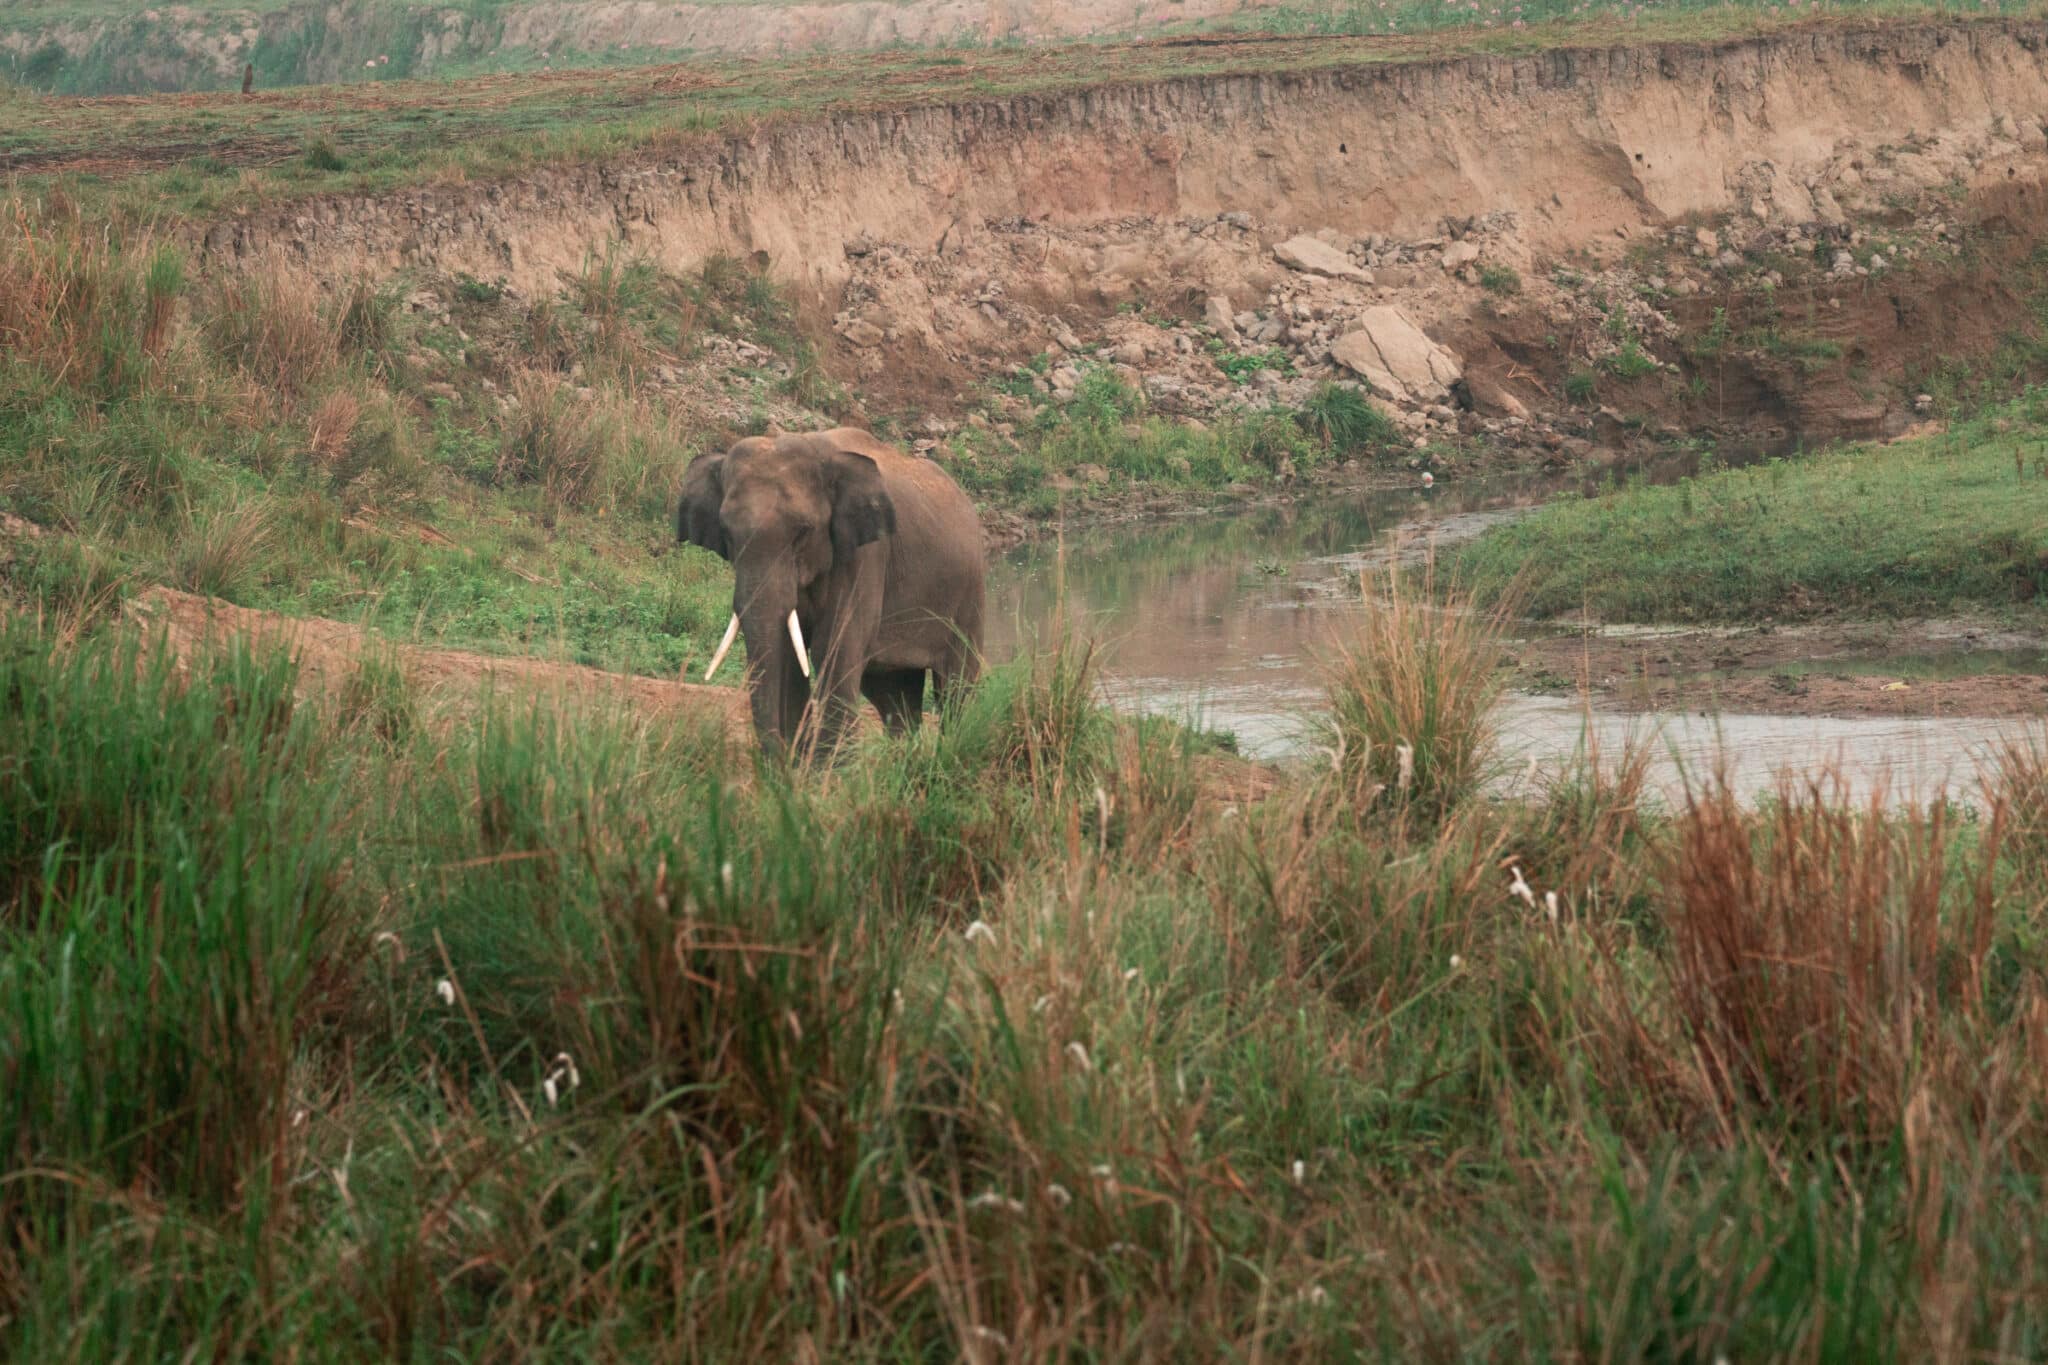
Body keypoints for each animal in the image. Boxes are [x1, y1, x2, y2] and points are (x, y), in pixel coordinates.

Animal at [676, 427, 986, 757]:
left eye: (802, 531)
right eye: (726, 533)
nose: (777, 760)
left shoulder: (864, 556)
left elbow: (832, 648)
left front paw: (829, 768)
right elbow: (789, 652)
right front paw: (797, 766)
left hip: (969, 595)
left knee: (955, 687)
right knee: (894, 695)